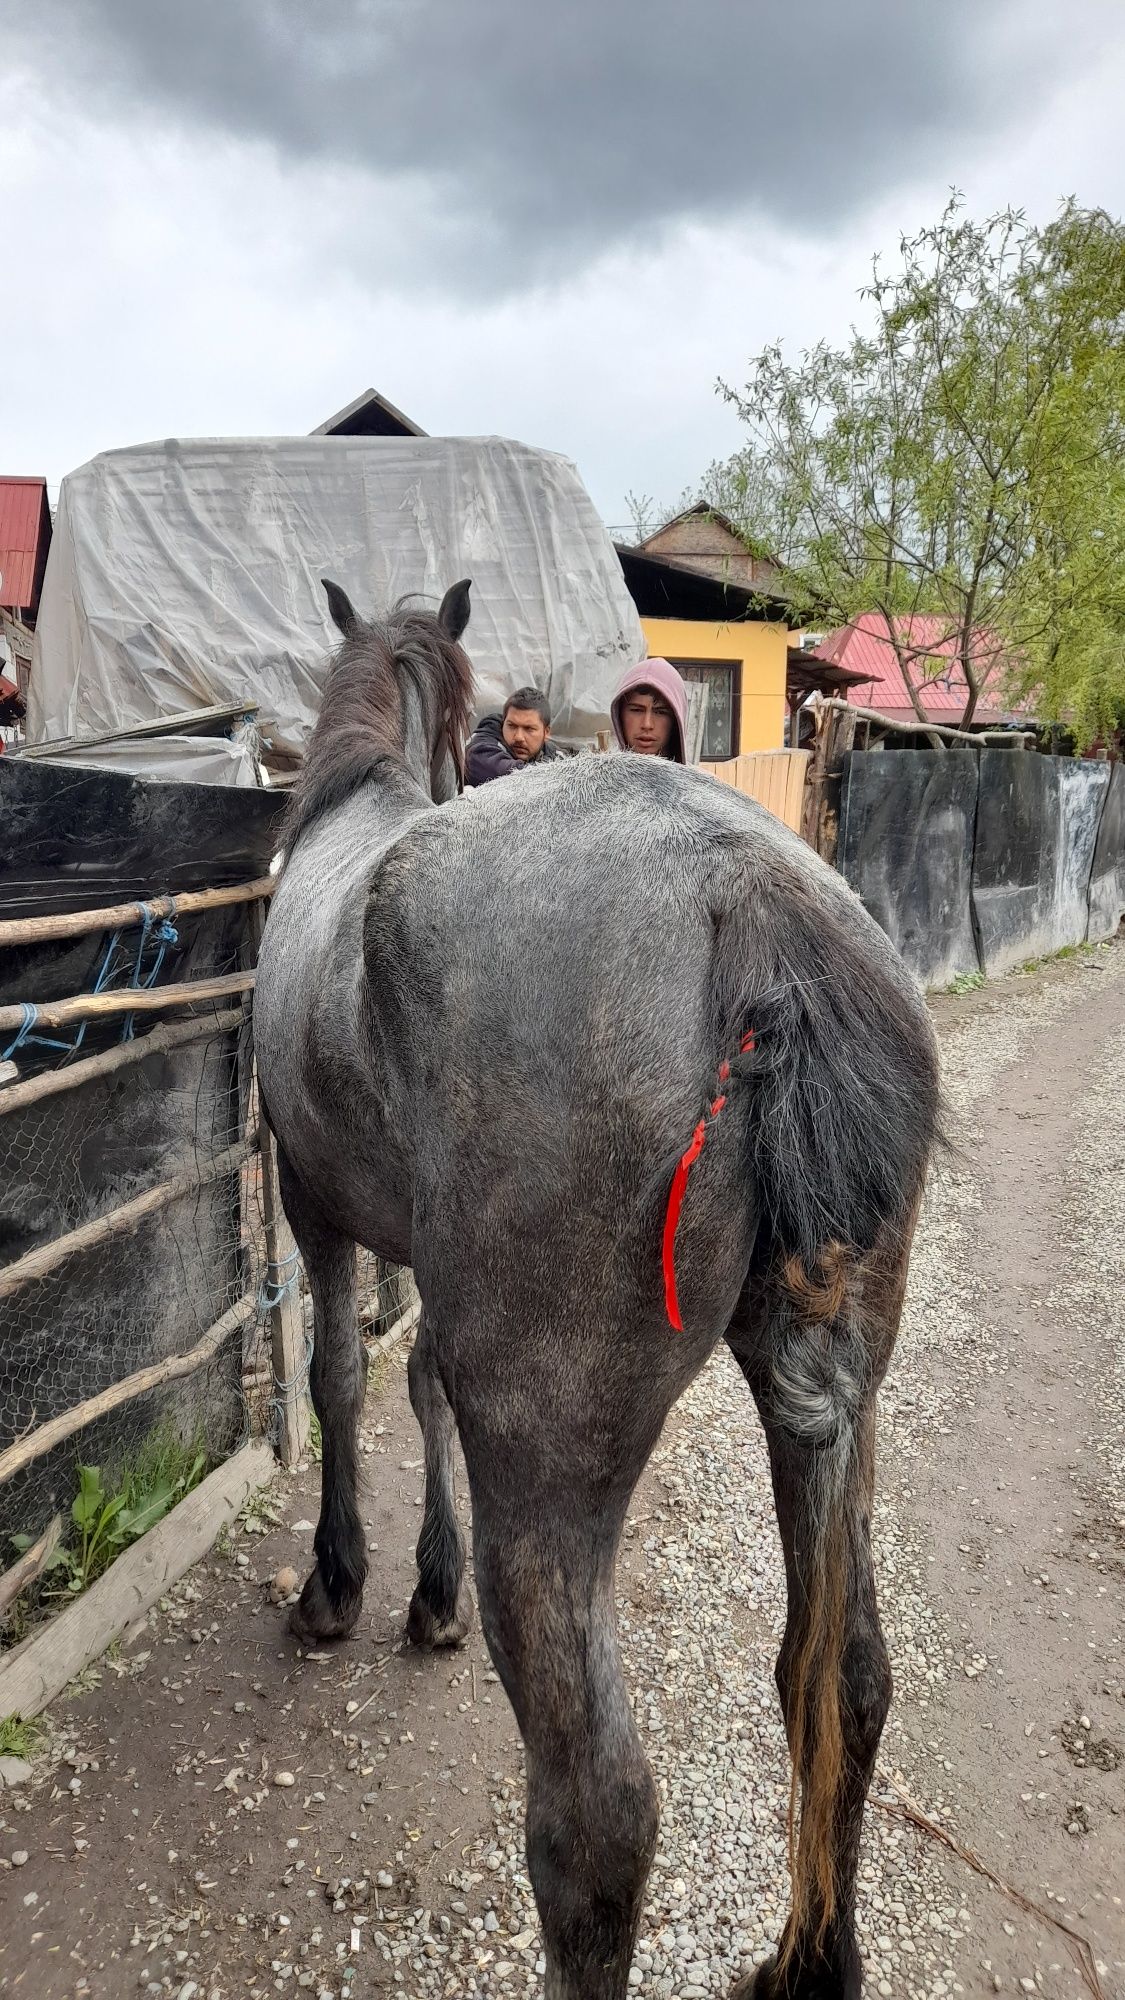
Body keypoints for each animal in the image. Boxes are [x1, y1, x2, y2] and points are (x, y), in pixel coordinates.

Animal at [254, 584, 936, 2000]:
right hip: (833, 1413)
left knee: (598, 1817)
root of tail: (758, 909)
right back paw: (807, 1962)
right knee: (844, 1679)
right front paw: (429, 1587)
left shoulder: (312, 1196)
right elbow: (416, 1381)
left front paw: (346, 1579)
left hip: (553, 1473)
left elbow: (342, 1379)